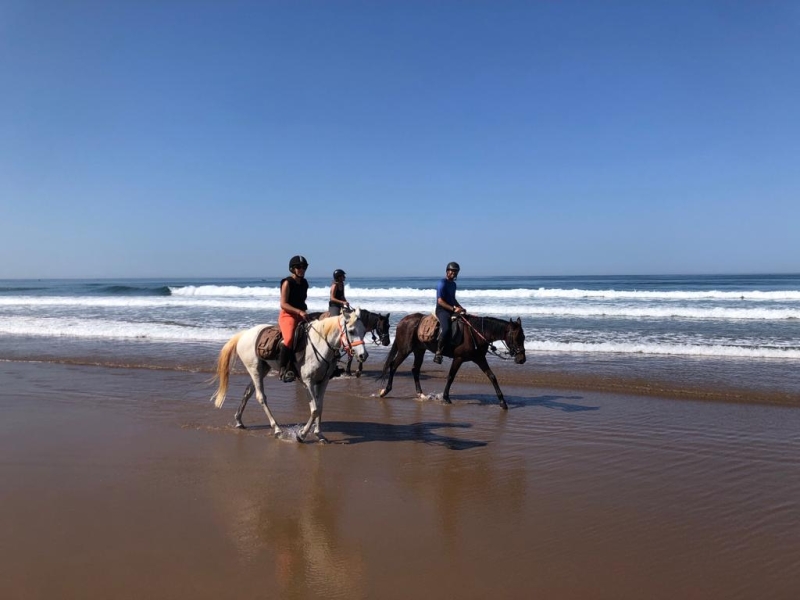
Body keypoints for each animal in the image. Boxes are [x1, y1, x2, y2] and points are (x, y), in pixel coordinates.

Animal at [208, 310, 368, 440]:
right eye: (352, 331)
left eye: (364, 331)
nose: (363, 355)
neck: (320, 344)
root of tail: (244, 334)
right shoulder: (308, 382)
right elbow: (315, 409)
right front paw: (302, 435)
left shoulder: (323, 382)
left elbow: (320, 407)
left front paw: (319, 434)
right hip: (255, 370)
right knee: (261, 397)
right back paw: (277, 429)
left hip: (262, 370)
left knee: (247, 392)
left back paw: (239, 421)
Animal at [380, 314, 528, 408]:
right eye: (516, 337)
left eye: (524, 337)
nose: (522, 359)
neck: (475, 334)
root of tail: (402, 321)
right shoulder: (459, 358)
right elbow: (451, 377)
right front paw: (446, 398)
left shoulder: (480, 359)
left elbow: (492, 377)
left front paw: (503, 402)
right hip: (405, 350)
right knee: (393, 366)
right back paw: (385, 391)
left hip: (419, 350)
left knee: (415, 369)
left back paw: (421, 394)